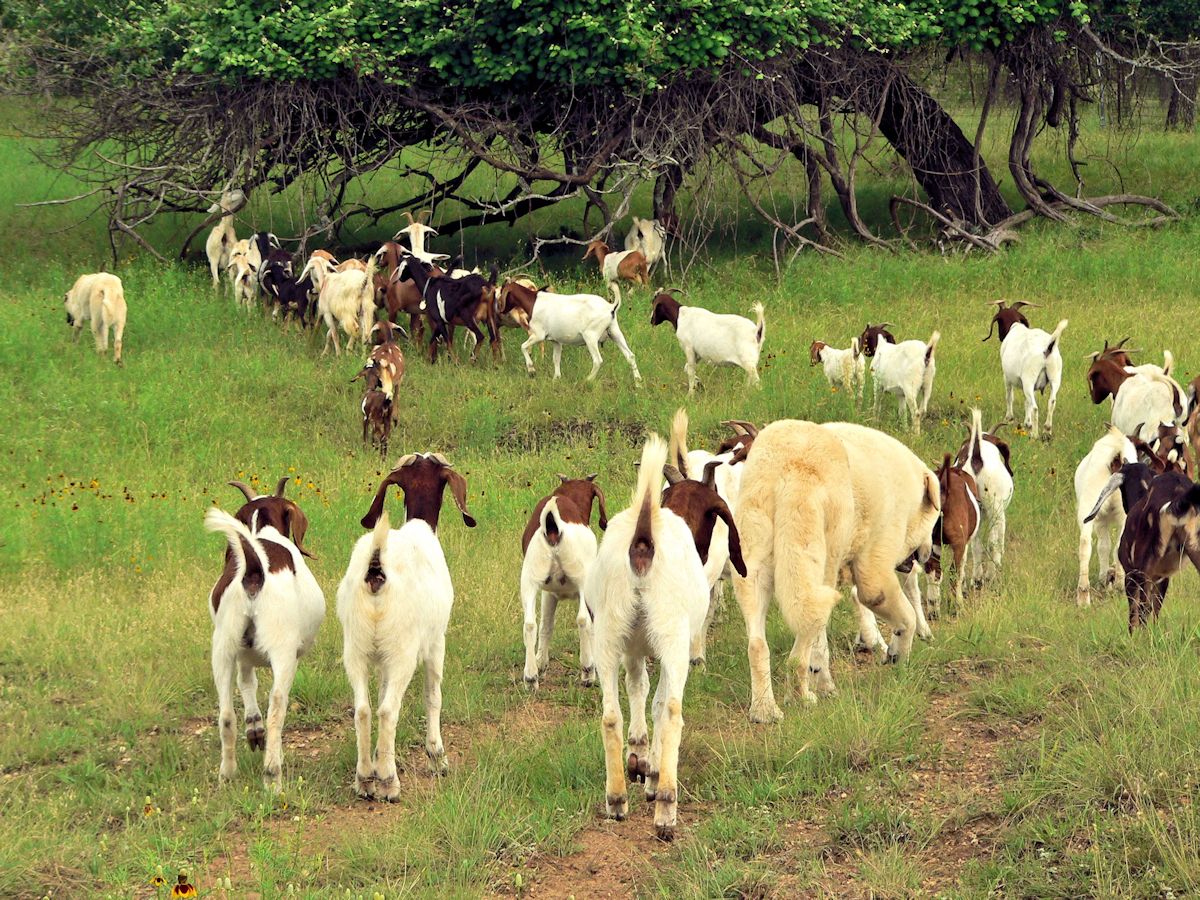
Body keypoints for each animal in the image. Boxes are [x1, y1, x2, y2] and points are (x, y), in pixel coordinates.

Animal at [202, 487, 324, 787]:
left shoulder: (243, 655)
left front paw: (253, 729)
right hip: (283, 652)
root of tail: (254, 569)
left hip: (222, 647)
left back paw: (227, 773)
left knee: (226, 715)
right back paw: (273, 774)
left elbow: (246, 682)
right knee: (277, 709)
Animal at [338, 453, 477, 801]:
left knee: (364, 709)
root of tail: (376, 568)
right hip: (403, 650)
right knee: (388, 710)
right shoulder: (436, 641)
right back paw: (389, 783)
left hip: (356, 649)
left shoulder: (381, 660)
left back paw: (365, 779)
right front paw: (437, 758)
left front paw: (378, 760)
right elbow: (433, 695)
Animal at [583, 434, 705, 844]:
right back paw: (665, 806)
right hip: (672, 632)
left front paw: (637, 757)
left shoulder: (633, 647)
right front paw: (649, 772)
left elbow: (638, 686)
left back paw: (617, 799)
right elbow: (658, 700)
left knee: (609, 714)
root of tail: (643, 540)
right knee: (673, 711)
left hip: (608, 630)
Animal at [724, 420, 940, 724]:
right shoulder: (873, 573)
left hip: (754, 566)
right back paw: (805, 695)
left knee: (759, 644)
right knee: (803, 648)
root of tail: (790, 463)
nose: (929, 554)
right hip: (819, 560)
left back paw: (766, 709)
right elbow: (905, 616)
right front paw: (899, 656)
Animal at [984, 300, 1070, 441]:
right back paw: (1047, 431)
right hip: (1055, 378)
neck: (1015, 327)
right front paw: (1027, 423)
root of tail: (1047, 348)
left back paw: (1034, 435)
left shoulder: (1007, 377)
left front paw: (1009, 419)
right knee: (1051, 402)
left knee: (1035, 407)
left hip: (1029, 379)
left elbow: (1010, 397)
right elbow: (1026, 402)